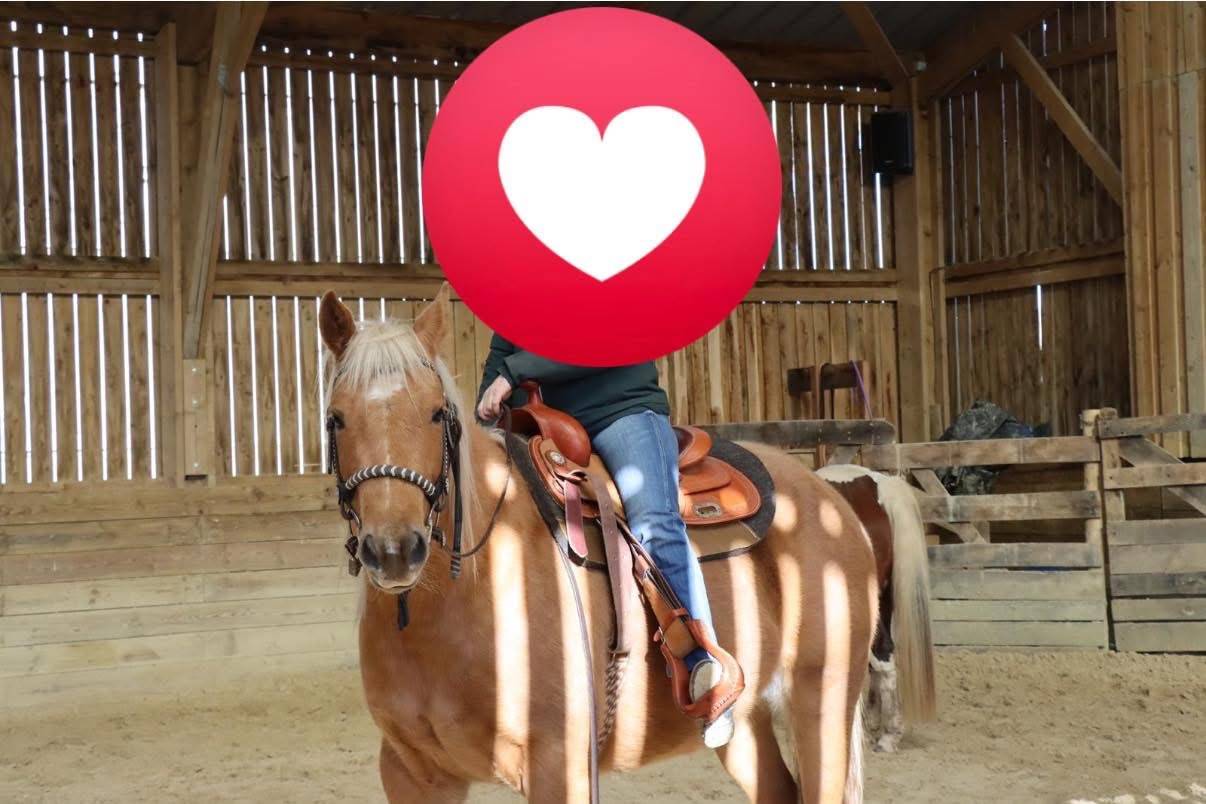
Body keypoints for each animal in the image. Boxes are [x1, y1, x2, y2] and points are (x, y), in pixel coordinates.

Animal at [319, 286, 879, 803]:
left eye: (438, 414)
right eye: (335, 418)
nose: (394, 550)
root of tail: (830, 498)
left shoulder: (559, 766)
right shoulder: (412, 773)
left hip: (822, 702)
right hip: (746, 723)